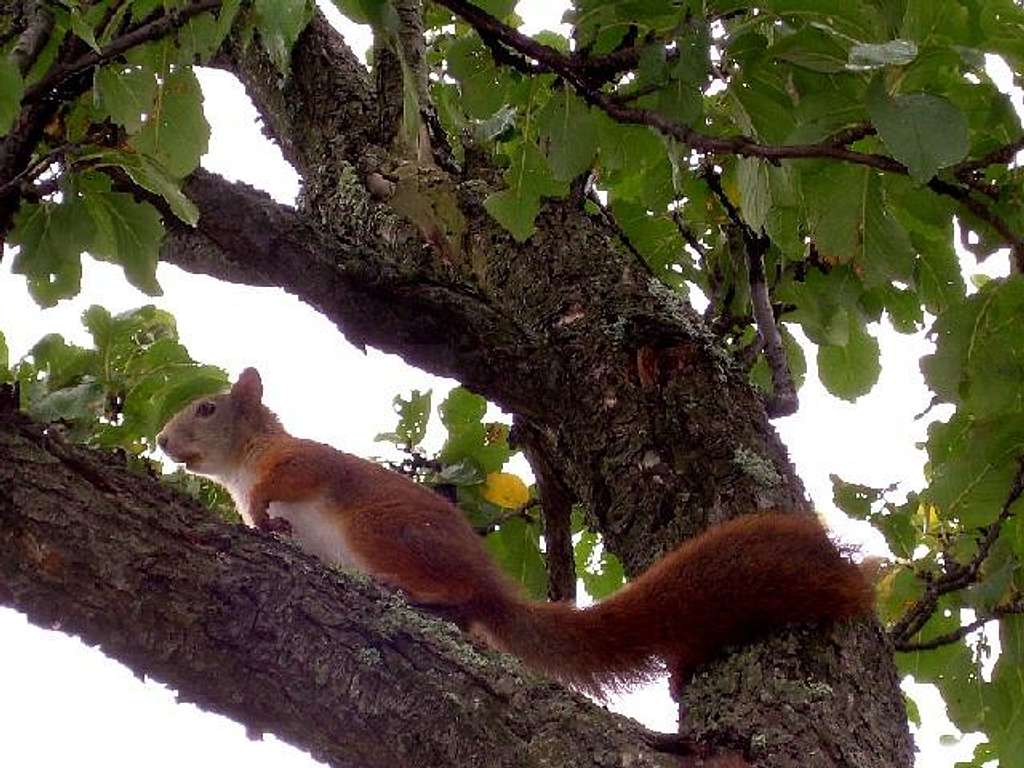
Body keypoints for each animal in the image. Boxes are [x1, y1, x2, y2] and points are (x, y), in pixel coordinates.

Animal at [157, 366, 872, 696]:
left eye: (207, 408)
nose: (162, 440)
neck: (241, 465)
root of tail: (494, 586)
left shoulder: (298, 461)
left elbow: (289, 482)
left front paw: (259, 514)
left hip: (376, 530)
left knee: (453, 594)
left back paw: (417, 594)